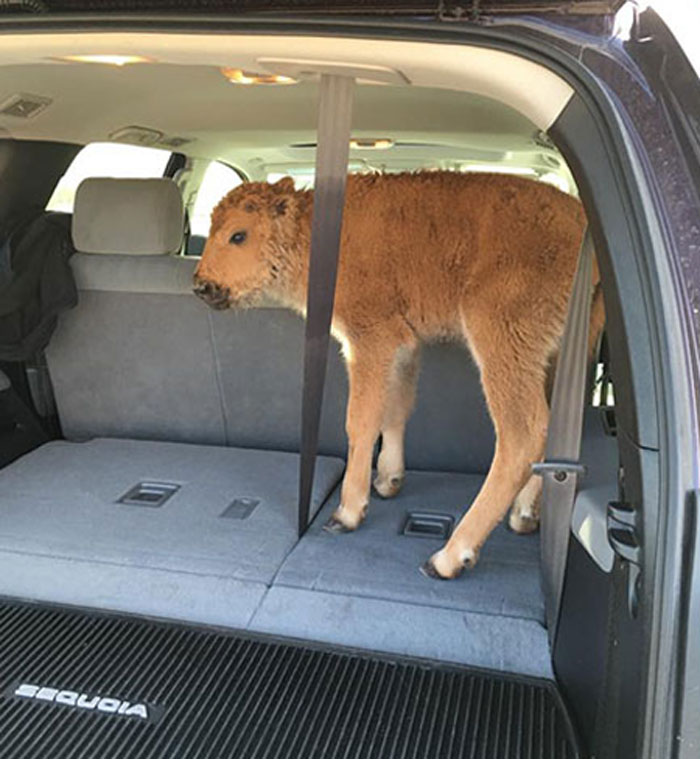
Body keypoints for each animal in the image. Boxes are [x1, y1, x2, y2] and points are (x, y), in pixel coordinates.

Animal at [193, 171, 600, 576]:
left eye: (238, 235)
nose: (201, 286)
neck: (310, 234)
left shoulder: (369, 339)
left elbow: (361, 420)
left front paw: (348, 512)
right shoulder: (404, 346)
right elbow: (395, 409)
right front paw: (388, 480)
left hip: (503, 340)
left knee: (522, 434)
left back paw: (450, 556)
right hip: (561, 353)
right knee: (556, 428)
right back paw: (525, 514)